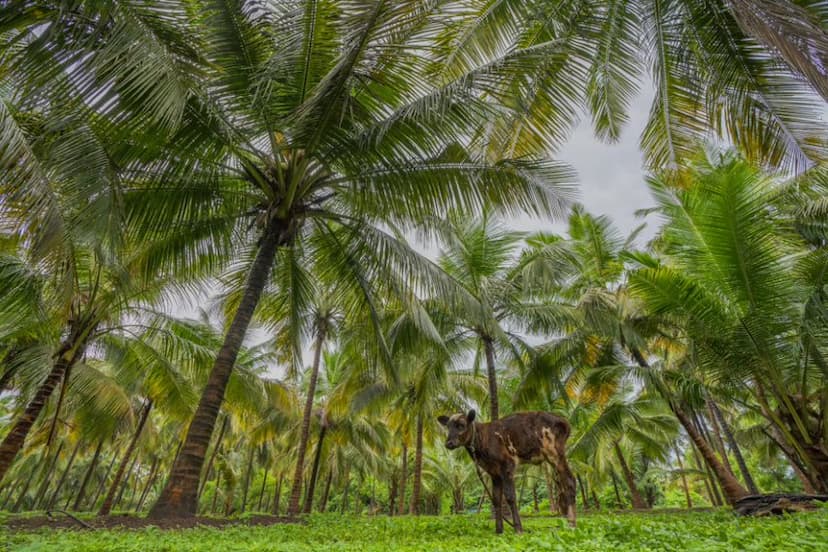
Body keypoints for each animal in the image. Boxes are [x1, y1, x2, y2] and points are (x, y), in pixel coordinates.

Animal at [436, 410, 580, 536]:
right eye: (448, 426)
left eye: (461, 425)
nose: (449, 443)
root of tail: (561, 419)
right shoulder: (494, 473)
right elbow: (496, 499)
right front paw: (499, 530)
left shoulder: (507, 466)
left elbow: (510, 497)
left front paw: (518, 529)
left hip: (555, 454)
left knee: (570, 480)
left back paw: (572, 523)